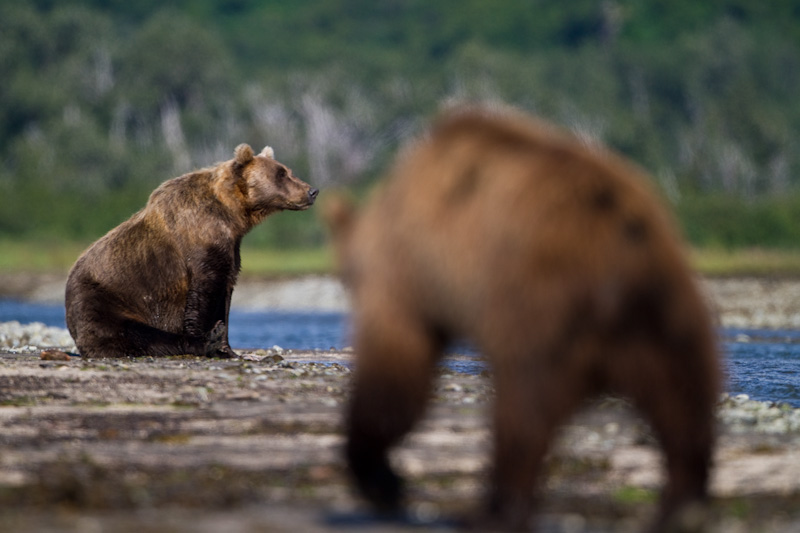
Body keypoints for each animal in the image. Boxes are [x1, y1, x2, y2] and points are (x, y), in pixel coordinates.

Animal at [65, 144, 318, 358]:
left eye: (288, 171)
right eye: (281, 174)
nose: (312, 191)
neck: (232, 214)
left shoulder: (230, 246)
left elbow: (226, 289)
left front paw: (227, 347)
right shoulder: (200, 237)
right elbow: (205, 290)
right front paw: (213, 339)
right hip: (104, 300)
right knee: (137, 334)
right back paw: (202, 343)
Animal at [328, 106, 720, 528]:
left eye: (347, 277)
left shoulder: (406, 280)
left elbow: (394, 371)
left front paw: (380, 478)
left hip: (540, 304)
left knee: (524, 403)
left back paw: (495, 508)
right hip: (662, 308)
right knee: (682, 393)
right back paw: (683, 501)